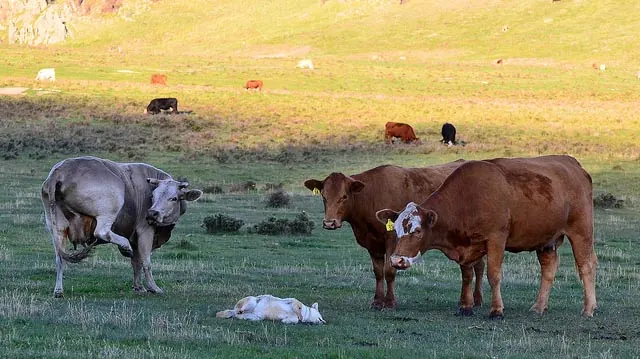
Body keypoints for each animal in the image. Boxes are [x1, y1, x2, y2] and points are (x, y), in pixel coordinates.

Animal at [41, 156, 201, 300]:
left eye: (174, 198)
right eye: (153, 196)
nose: (152, 213)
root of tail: (60, 171)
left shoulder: (135, 238)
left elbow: (136, 262)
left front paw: (139, 287)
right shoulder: (145, 230)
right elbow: (145, 261)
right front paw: (153, 287)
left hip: (57, 227)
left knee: (60, 258)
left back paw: (58, 291)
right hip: (109, 208)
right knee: (102, 232)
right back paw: (124, 245)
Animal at [302, 163, 482, 312]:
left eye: (344, 196)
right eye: (324, 196)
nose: (329, 222)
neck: (371, 197)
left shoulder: (392, 242)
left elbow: (389, 271)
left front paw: (389, 303)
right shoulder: (373, 245)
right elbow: (378, 272)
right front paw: (377, 301)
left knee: (478, 268)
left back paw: (476, 300)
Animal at [378, 156, 596, 320]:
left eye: (417, 231)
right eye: (396, 230)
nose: (396, 260)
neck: (467, 199)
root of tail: (572, 163)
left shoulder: (496, 239)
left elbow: (493, 275)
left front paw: (496, 310)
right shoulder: (465, 245)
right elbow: (467, 275)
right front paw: (466, 307)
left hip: (581, 232)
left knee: (586, 266)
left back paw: (589, 308)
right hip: (546, 240)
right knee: (548, 270)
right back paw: (539, 306)